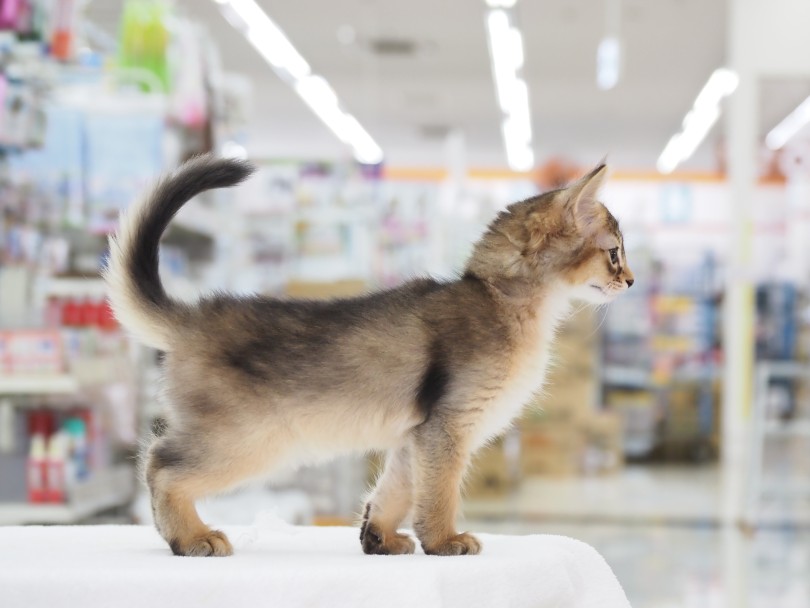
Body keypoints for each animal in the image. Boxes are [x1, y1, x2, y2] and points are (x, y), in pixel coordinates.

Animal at [104, 156, 632, 556]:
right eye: (613, 253)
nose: (630, 282)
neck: (500, 298)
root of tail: (193, 316)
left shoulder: (416, 435)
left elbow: (396, 488)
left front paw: (378, 537)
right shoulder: (448, 427)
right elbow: (439, 492)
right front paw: (445, 540)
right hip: (249, 437)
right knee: (160, 462)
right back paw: (190, 537)